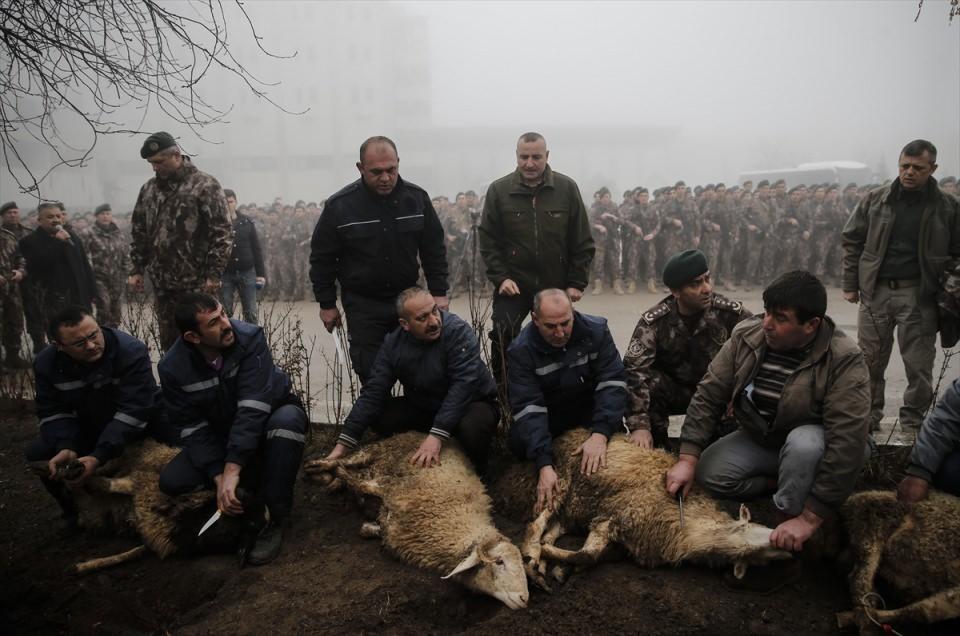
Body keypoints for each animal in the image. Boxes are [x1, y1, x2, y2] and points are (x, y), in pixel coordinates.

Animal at [304, 432, 528, 612]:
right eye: (499, 561)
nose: (524, 599)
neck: (449, 518)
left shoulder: (393, 530)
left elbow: (366, 527)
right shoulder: (389, 486)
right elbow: (353, 478)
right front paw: (335, 473)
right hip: (372, 451)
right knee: (346, 460)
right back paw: (318, 468)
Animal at [492, 428, 792, 588]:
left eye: (762, 561)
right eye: (755, 529)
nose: (791, 548)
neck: (688, 528)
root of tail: (566, 433)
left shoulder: (620, 536)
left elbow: (592, 558)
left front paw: (560, 567)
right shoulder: (616, 516)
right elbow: (587, 556)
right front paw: (550, 557)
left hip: (575, 508)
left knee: (551, 528)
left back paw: (541, 563)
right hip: (562, 482)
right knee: (535, 525)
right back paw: (533, 556)